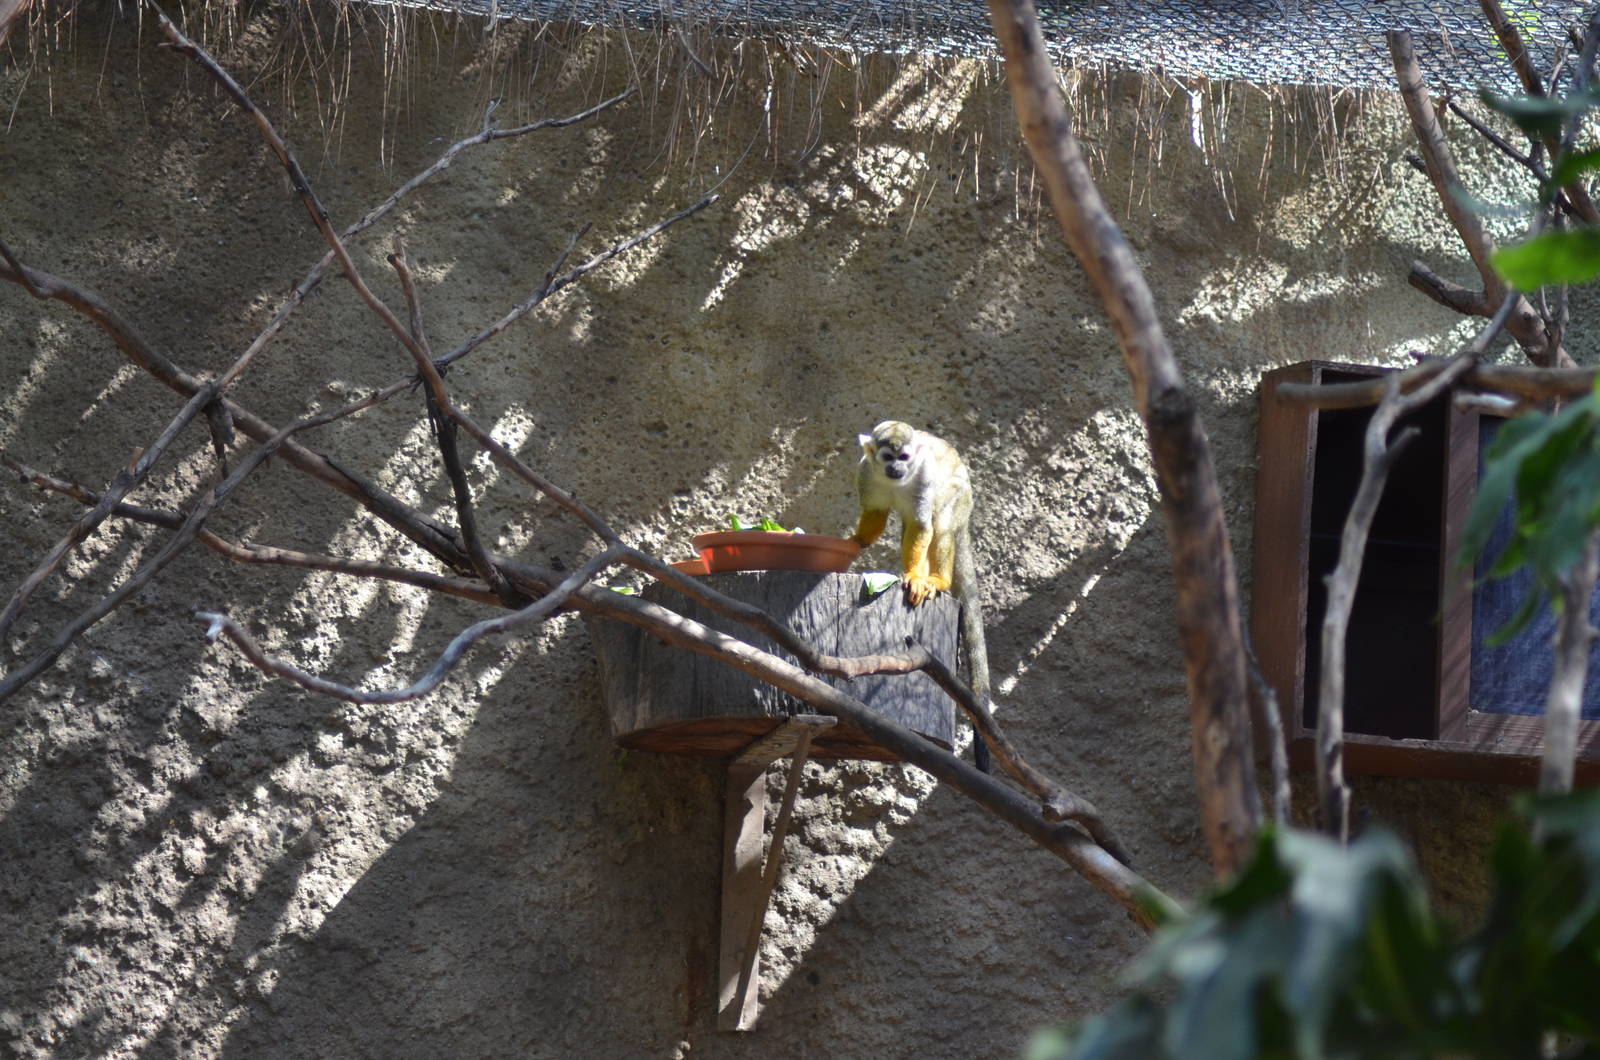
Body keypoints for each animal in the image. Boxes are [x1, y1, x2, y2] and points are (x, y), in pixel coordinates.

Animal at [850, 420, 993, 772]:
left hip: (960, 495)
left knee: (939, 524)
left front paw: (915, 577)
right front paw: (854, 542)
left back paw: (936, 579)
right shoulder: (866, 472)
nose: (897, 468)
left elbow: (923, 526)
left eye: (904, 457)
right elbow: (875, 513)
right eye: (887, 457)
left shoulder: (925, 478)